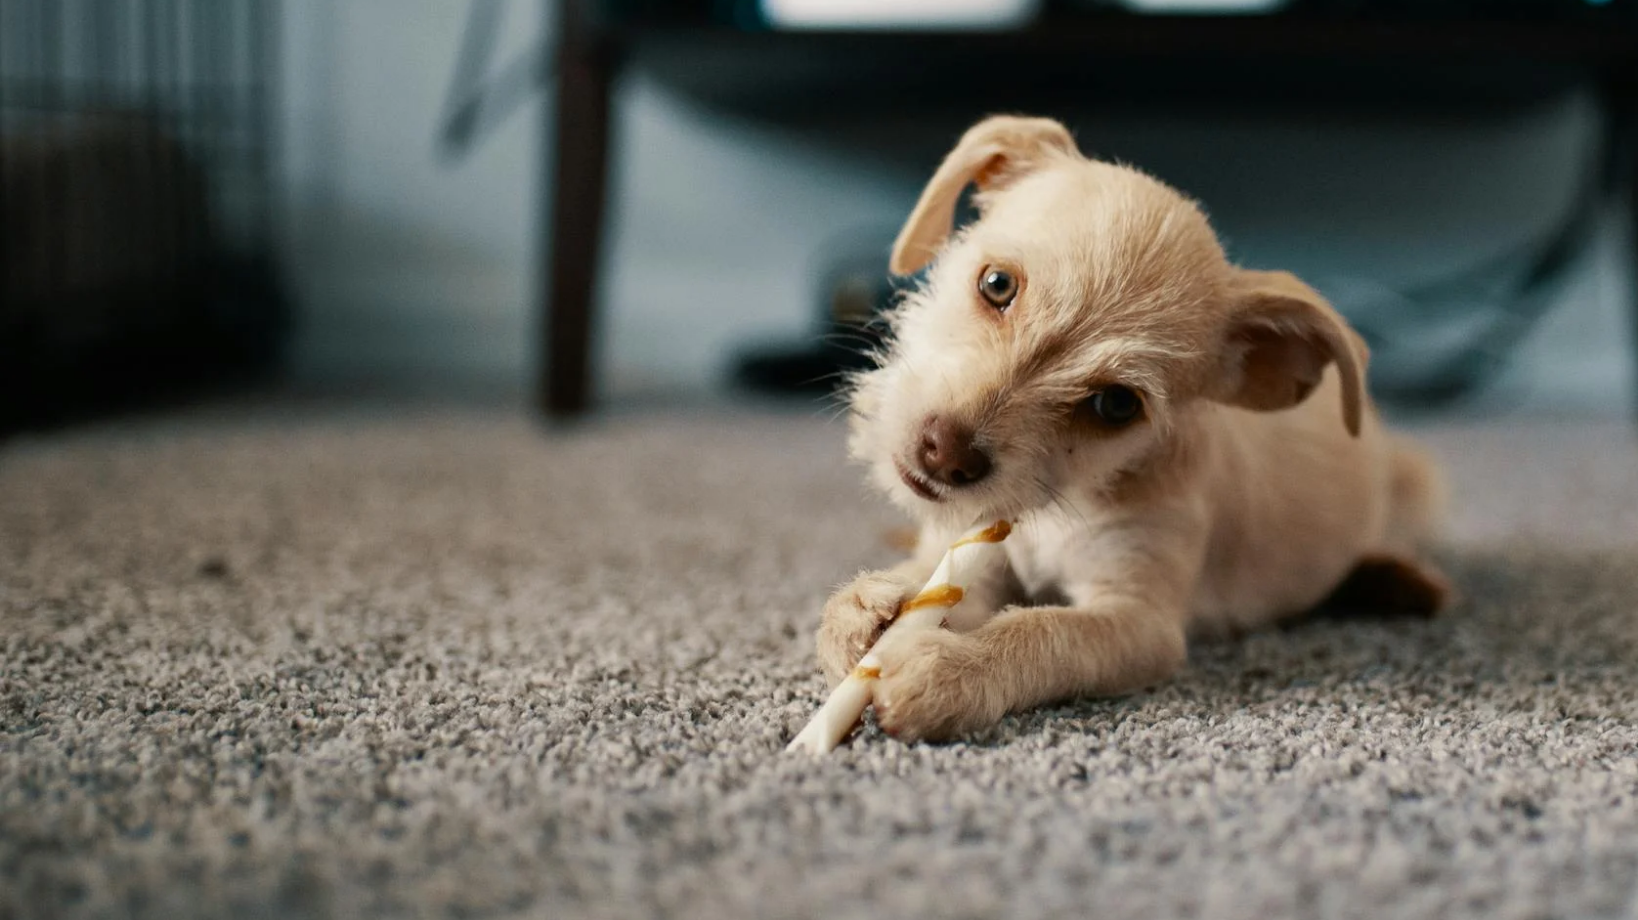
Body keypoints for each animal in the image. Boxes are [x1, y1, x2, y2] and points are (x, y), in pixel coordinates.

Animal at [819, 116, 1447, 746]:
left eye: (1117, 405)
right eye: (996, 284)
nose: (944, 455)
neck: (1059, 506)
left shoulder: (1138, 620)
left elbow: (1042, 633)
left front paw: (949, 669)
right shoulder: (976, 558)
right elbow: (928, 583)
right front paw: (867, 609)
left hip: (1416, 481)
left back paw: (1396, 580)